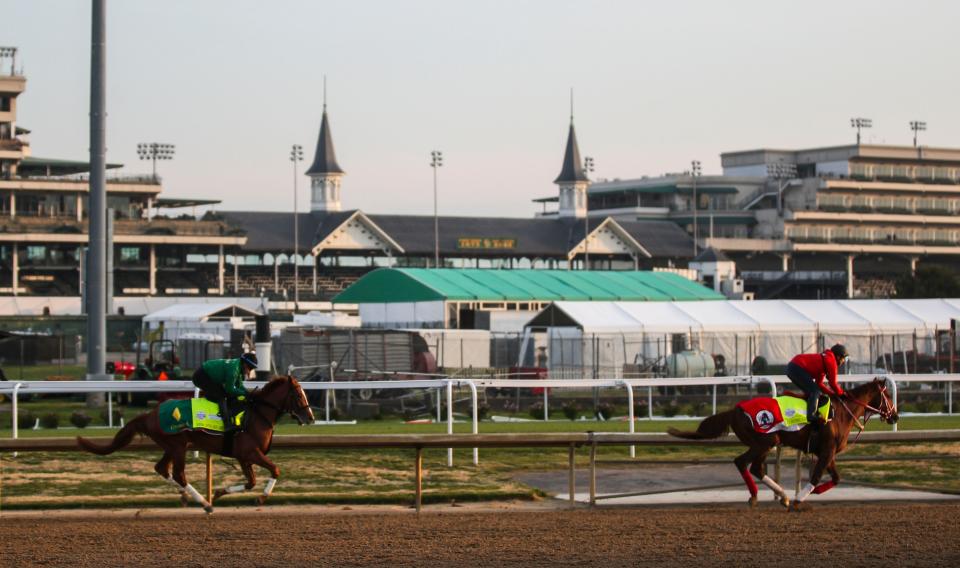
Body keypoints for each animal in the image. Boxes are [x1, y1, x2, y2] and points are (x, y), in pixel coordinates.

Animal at [78, 374, 316, 512]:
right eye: (298, 394)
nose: (310, 418)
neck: (257, 415)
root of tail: (150, 413)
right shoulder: (251, 453)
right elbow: (275, 470)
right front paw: (262, 498)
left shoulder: (242, 456)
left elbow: (251, 482)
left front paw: (219, 492)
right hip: (178, 446)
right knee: (178, 474)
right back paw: (204, 503)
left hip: (172, 447)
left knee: (162, 468)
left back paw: (186, 496)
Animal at [672, 378, 896, 510]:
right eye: (887, 395)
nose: (894, 416)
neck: (841, 413)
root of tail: (735, 410)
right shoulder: (827, 450)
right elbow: (816, 476)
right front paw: (800, 498)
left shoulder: (827, 452)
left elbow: (836, 478)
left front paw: (813, 492)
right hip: (764, 441)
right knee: (742, 463)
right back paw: (758, 496)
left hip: (766, 444)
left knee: (756, 468)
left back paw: (781, 495)